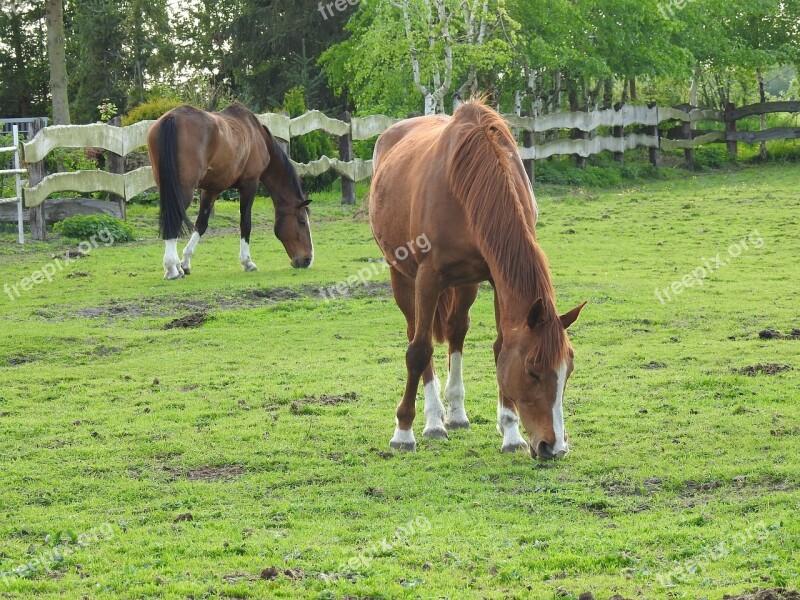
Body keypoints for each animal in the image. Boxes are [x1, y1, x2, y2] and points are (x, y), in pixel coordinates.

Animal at [147, 102, 312, 280]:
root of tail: (172, 118)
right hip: (183, 190)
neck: (258, 136)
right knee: (173, 221)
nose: (308, 259)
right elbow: (245, 223)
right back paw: (172, 268)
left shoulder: (211, 189)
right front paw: (247, 262)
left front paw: (185, 263)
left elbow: (201, 225)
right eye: (302, 222)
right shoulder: (250, 184)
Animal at [370, 101, 588, 462]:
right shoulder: (428, 277)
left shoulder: (497, 279)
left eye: (567, 372)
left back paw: (456, 414)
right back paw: (433, 421)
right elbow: (418, 350)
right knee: (418, 335)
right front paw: (403, 432)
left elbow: (500, 348)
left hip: (465, 284)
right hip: (402, 275)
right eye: (532, 371)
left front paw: (511, 432)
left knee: (456, 330)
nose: (553, 447)